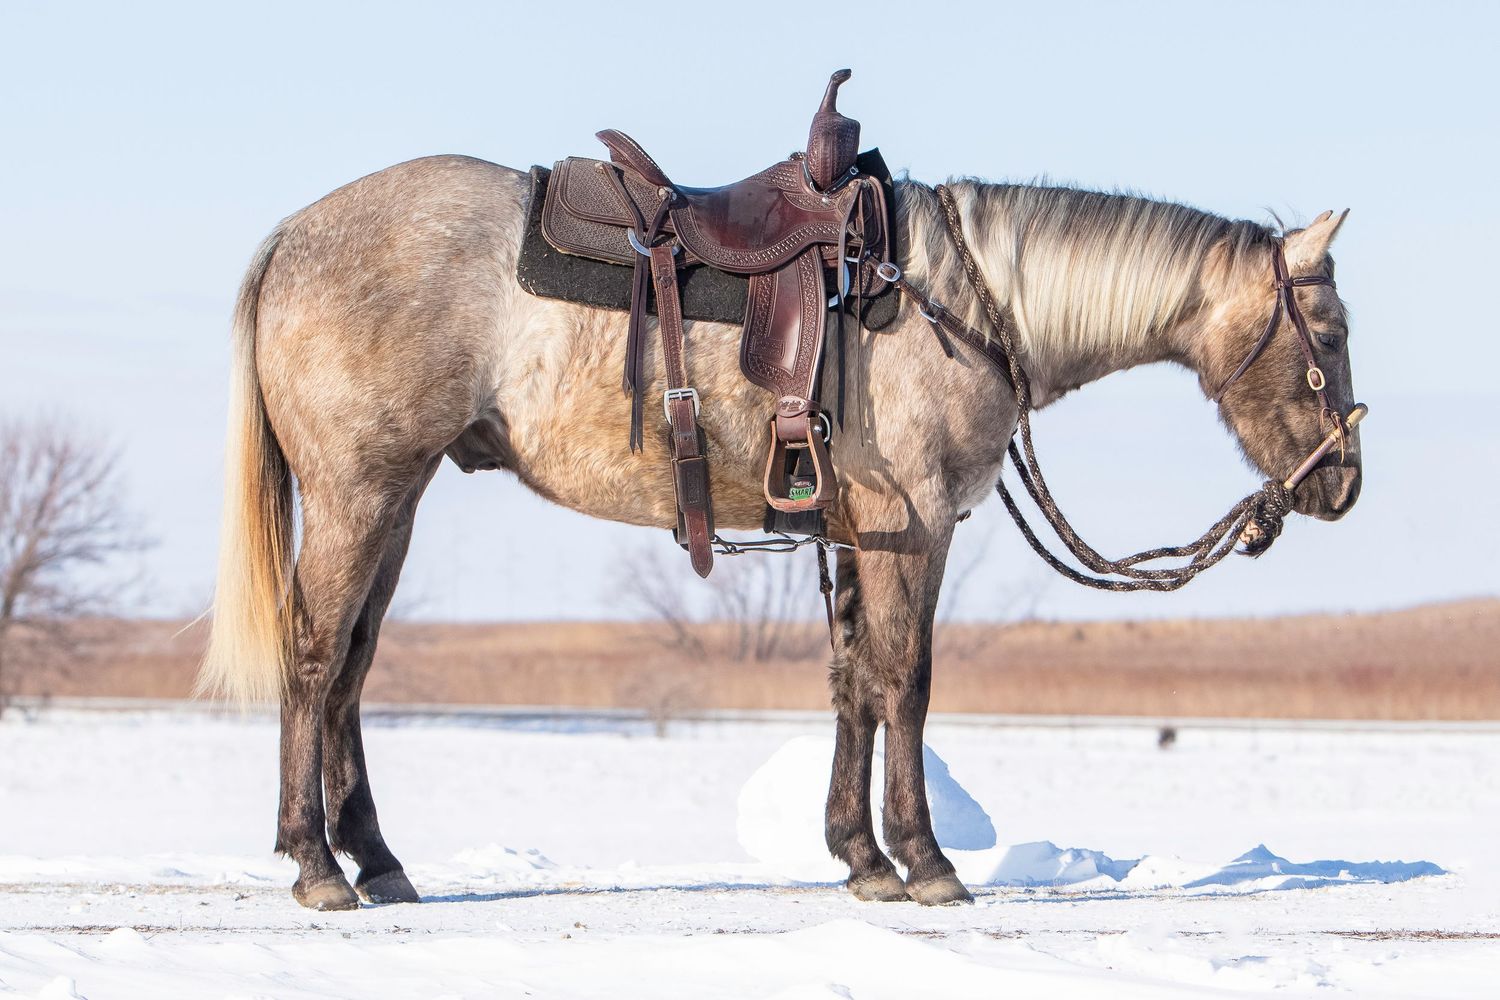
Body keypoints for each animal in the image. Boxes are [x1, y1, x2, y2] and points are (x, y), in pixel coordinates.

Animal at [196, 155, 1361, 910]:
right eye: (1331, 329)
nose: (1342, 483)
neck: (954, 301)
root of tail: (293, 235)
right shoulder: (911, 529)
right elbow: (904, 681)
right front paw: (925, 862)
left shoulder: (855, 535)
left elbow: (853, 684)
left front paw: (859, 854)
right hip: (356, 495)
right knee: (314, 657)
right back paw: (315, 865)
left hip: (394, 502)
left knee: (352, 666)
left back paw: (378, 861)